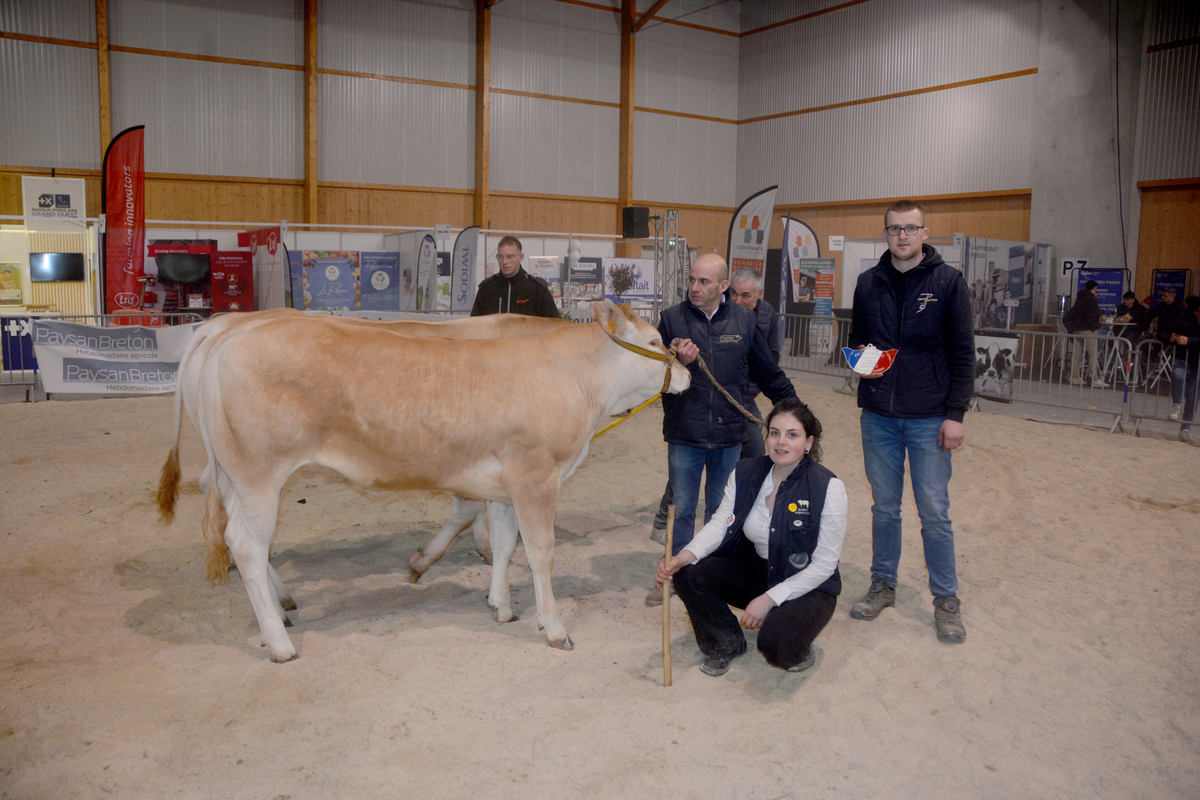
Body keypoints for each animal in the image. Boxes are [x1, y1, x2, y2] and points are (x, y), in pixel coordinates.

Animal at [157, 302, 686, 662]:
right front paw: (554, 626)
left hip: (236, 474)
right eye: (654, 342)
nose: (684, 371)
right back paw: (279, 639)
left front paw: (500, 604)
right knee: (247, 545)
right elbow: (540, 552)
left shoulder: (504, 481)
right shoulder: (535, 476)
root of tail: (225, 332)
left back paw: (280, 610)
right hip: (257, 475)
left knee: (238, 535)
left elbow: (505, 541)